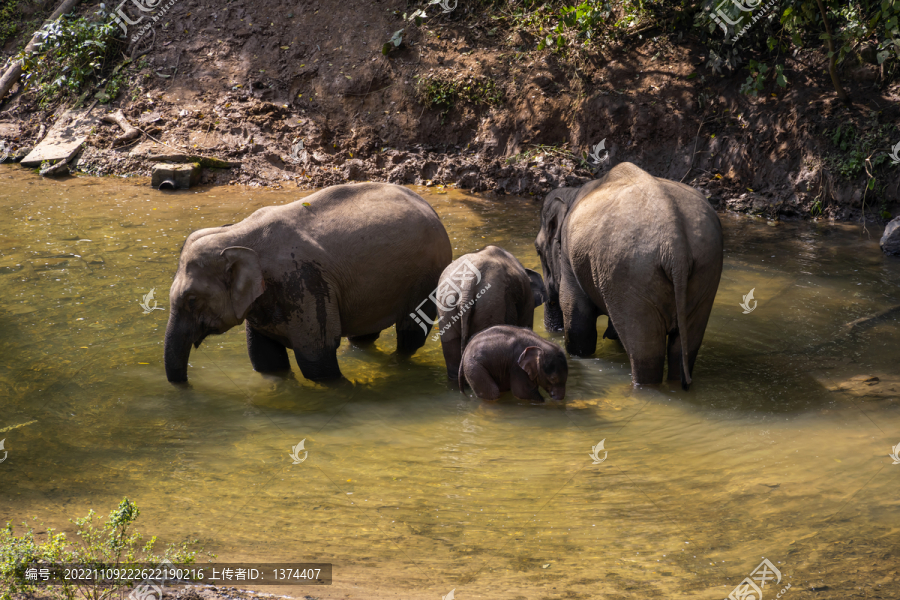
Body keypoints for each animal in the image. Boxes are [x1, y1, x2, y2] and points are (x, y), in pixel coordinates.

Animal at [163, 180, 450, 382]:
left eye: (191, 299)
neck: (237, 233)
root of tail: (430, 208)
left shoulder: (305, 283)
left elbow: (317, 360)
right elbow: (267, 361)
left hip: (427, 275)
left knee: (410, 333)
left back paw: (397, 365)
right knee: (364, 334)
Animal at [536, 163, 724, 390]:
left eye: (537, 250)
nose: (552, 332)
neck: (573, 194)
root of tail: (676, 244)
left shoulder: (571, 259)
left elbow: (579, 328)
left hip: (631, 274)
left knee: (645, 355)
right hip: (706, 270)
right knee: (682, 349)